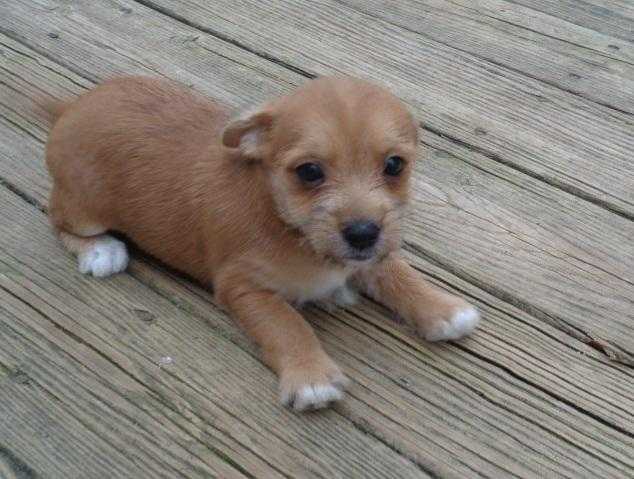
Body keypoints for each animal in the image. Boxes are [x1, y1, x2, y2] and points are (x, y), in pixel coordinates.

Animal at [45, 76, 478, 412]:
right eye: (309, 172)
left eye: (394, 165)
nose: (362, 233)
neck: (289, 226)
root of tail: (71, 106)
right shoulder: (242, 287)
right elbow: (287, 324)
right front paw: (311, 377)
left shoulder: (370, 255)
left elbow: (396, 270)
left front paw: (442, 308)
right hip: (84, 207)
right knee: (56, 216)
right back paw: (100, 249)